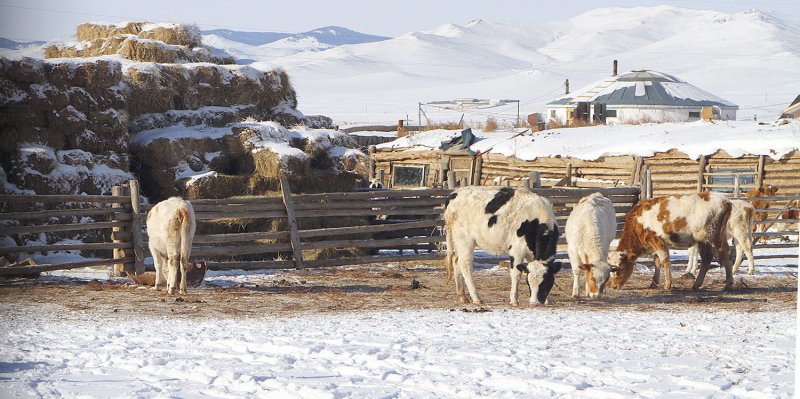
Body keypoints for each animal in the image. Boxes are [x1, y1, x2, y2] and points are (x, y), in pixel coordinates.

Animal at [608, 192, 736, 292]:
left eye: (621, 268)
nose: (614, 286)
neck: (638, 222)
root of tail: (725, 201)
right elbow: (657, 261)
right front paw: (654, 283)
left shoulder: (656, 239)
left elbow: (664, 259)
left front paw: (667, 284)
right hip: (719, 235)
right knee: (726, 254)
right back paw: (728, 284)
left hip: (706, 237)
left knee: (707, 258)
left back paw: (698, 284)